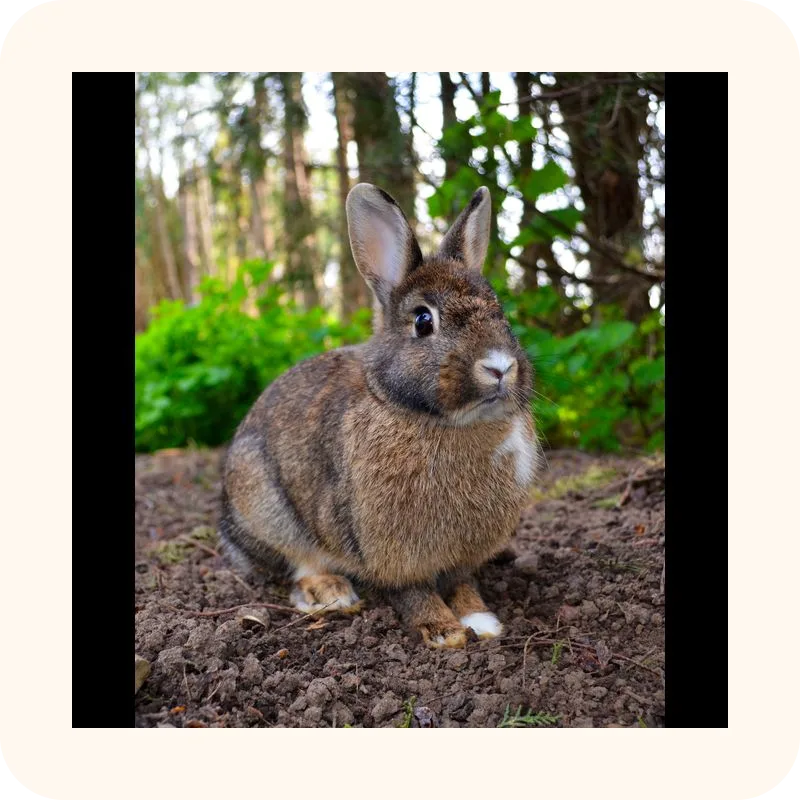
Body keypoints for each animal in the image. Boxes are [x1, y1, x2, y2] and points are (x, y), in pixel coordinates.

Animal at [219, 183, 541, 648]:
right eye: (423, 320)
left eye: (501, 313)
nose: (499, 366)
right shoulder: (391, 553)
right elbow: (413, 591)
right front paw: (443, 631)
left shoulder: (463, 558)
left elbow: (462, 584)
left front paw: (480, 620)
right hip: (263, 502)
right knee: (297, 563)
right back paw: (330, 593)